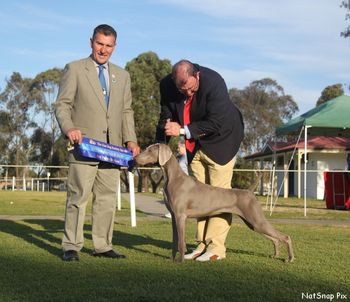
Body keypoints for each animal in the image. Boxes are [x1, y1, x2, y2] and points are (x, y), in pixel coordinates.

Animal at [135, 143, 294, 264]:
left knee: (285, 237)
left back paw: (290, 259)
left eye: (150, 150)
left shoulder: (181, 216)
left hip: (255, 219)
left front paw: (180, 261)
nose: (135, 157)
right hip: (253, 223)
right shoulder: (174, 217)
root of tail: (249, 192)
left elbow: (181, 242)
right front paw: (172, 259)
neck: (173, 178)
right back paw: (275, 255)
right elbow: (175, 241)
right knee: (275, 238)